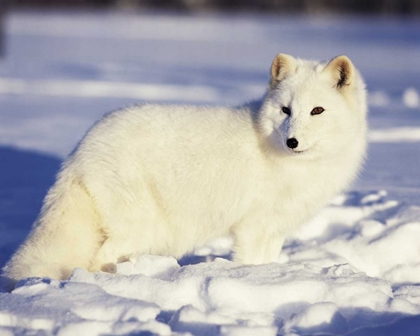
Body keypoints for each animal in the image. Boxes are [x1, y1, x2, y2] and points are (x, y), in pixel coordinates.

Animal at [1, 53, 366, 288]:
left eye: (317, 110)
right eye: (285, 110)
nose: (292, 141)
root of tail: (81, 149)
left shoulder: (275, 228)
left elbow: (269, 259)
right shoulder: (252, 227)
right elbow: (250, 262)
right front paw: (255, 281)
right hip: (141, 227)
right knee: (96, 260)